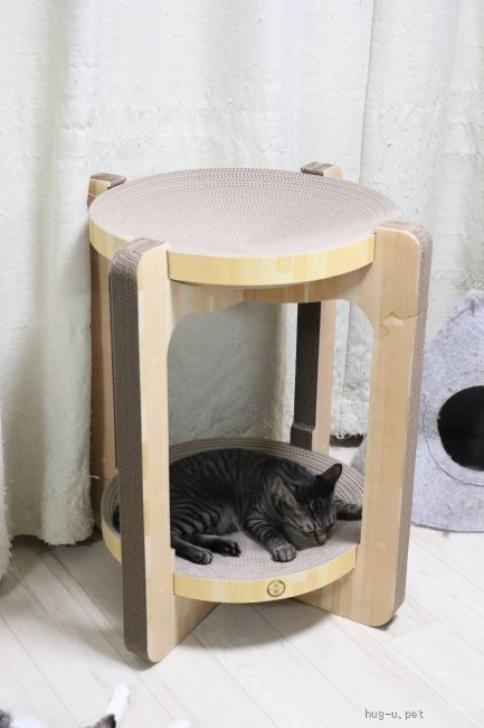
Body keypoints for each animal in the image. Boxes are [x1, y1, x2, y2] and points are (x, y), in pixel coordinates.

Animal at [168, 449, 361, 565]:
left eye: (329, 525)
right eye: (309, 531)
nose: (322, 542)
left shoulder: (335, 503)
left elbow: (346, 506)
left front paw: (361, 511)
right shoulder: (256, 518)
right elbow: (271, 533)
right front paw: (283, 547)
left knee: (187, 535)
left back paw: (224, 545)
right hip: (204, 508)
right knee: (172, 536)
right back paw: (199, 553)